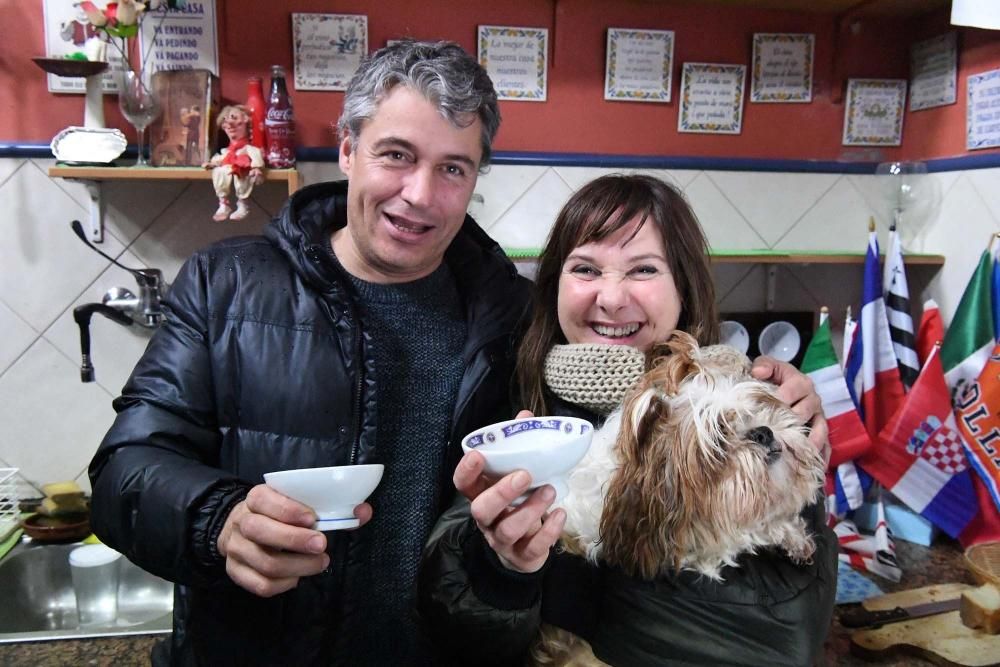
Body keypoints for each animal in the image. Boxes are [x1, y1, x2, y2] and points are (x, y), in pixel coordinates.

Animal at [536, 332, 824, 664]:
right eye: (719, 440)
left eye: (756, 410)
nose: (762, 432)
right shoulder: (691, 550)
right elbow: (745, 534)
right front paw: (782, 532)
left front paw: (794, 536)